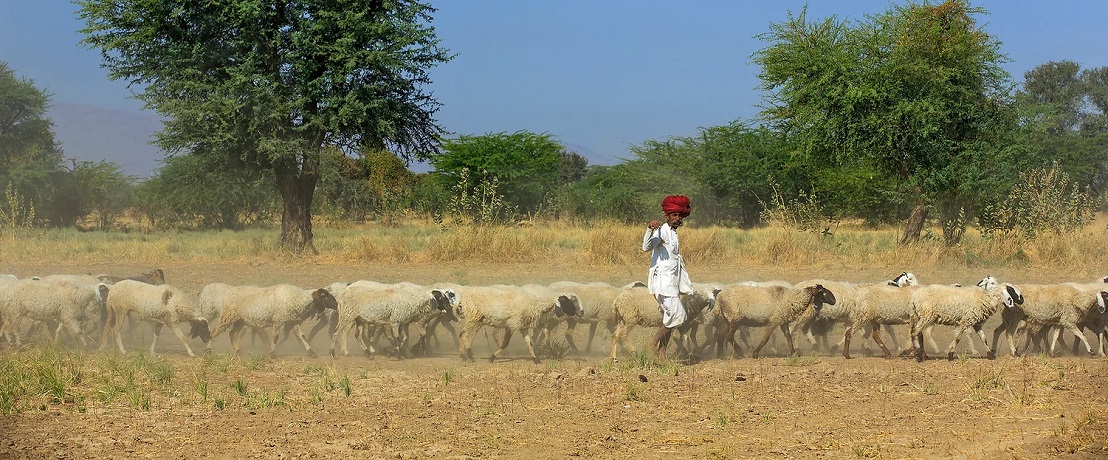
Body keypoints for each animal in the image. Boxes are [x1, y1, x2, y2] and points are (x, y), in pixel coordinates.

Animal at [207, 282, 336, 359]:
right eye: (325, 297)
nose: (336, 304)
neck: (298, 299)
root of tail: (228, 293)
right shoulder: (278, 320)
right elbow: (275, 337)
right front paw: (272, 353)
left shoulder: (293, 321)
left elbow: (302, 336)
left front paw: (311, 352)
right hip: (228, 316)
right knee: (215, 331)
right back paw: (208, 349)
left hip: (240, 320)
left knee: (232, 333)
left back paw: (238, 351)